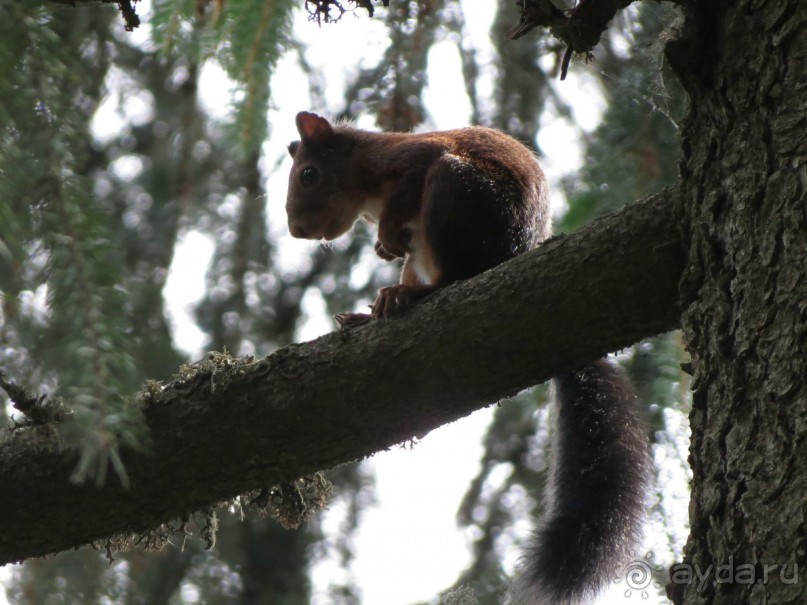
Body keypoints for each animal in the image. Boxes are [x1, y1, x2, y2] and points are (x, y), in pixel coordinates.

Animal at [284, 112, 652, 604]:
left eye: (309, 174)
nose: (296, 230)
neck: (366, 184)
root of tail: (515, 254)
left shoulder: (409, 165)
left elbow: (404, 194)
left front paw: (384, 240)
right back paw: (371, 312)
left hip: (456, 191)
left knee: (457, 277)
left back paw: (409, 295)